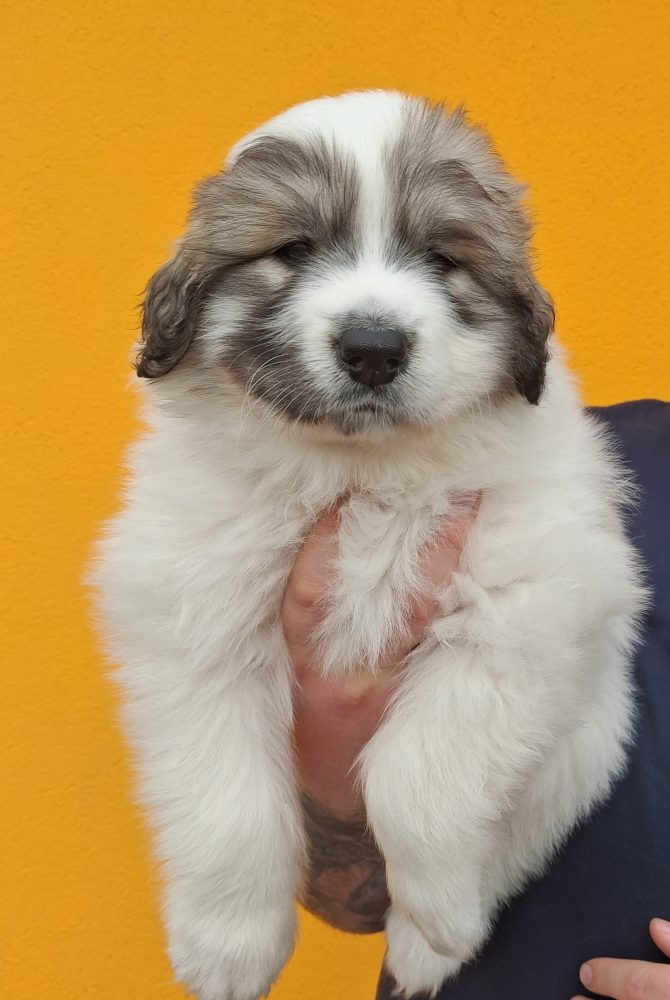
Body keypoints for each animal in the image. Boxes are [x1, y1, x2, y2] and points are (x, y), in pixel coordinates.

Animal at [91, 90, 646, 999]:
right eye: (292, 250)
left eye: (442, 257)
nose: (375, 349)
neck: (364, 474)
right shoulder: (196, 626)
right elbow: (226, 806)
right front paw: (228, 945)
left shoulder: (524, 611)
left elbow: (415, 778)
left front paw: (440, 916)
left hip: (587, 741)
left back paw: (432, 945)